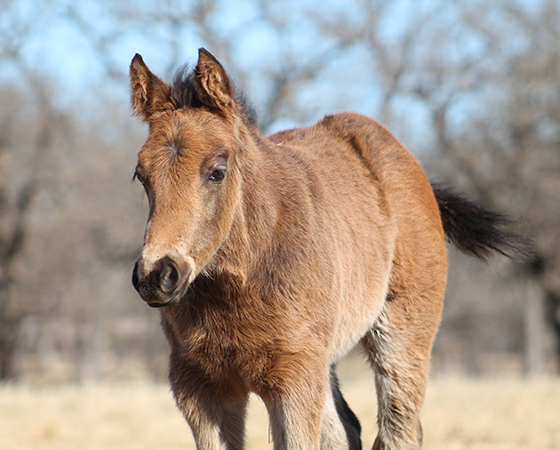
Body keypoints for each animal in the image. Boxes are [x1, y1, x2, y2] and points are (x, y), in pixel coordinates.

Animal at [130, 49, 528, 450]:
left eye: (216, 171)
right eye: (141, 176)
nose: (156, 276)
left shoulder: (294, 378)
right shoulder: (200, 386)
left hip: (402, 338)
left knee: (399, 430)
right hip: (326, 360)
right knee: (345, 429)